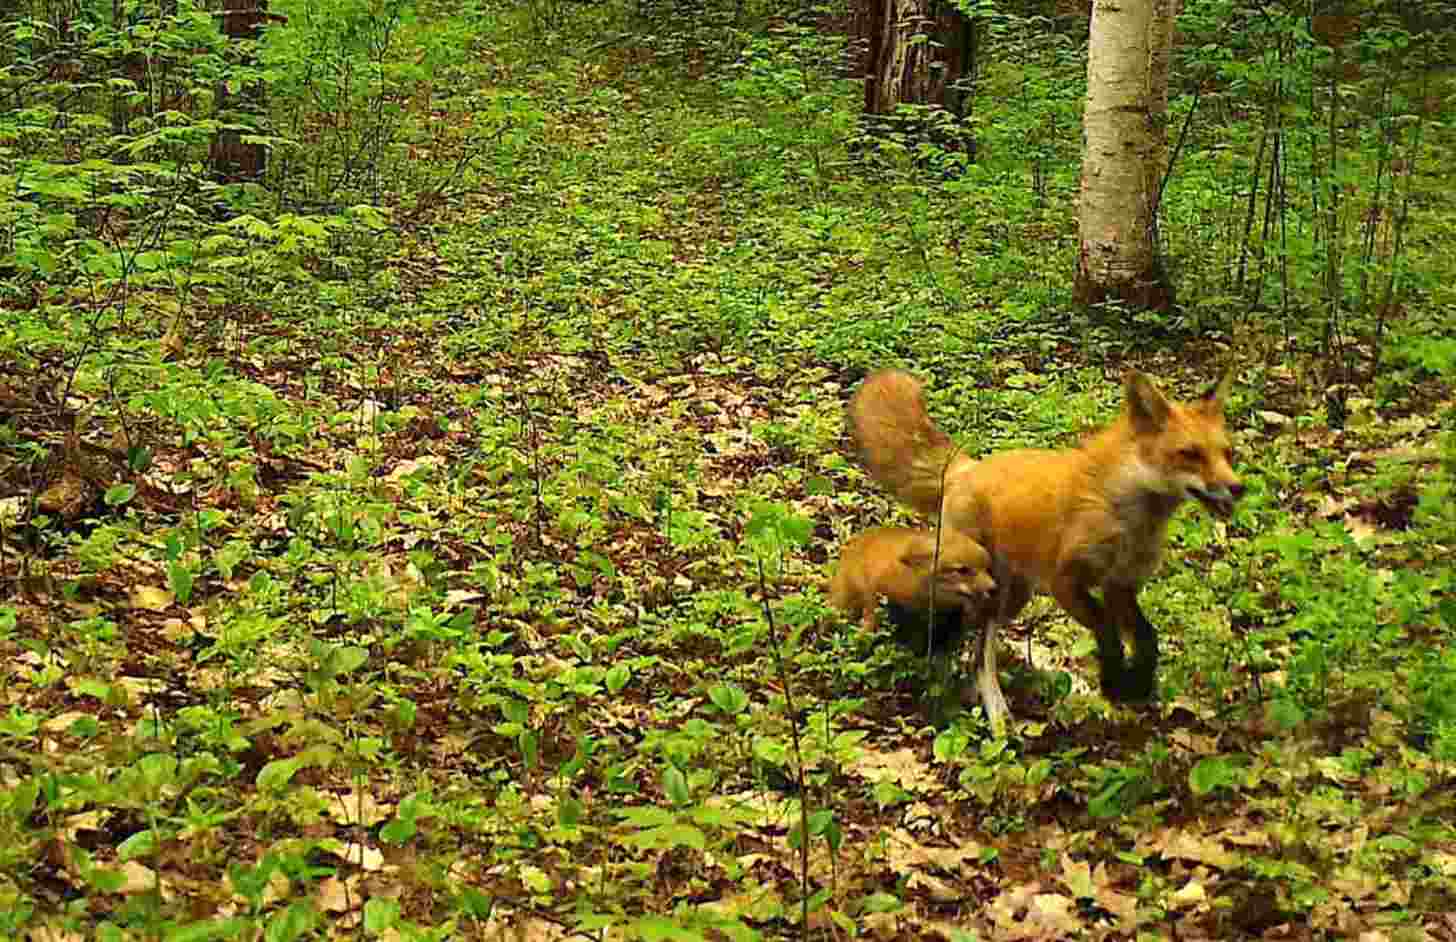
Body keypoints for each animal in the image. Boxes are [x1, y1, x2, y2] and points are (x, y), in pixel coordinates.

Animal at [827, 526, 997, 642]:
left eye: (987, 566)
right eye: (962, 570)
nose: (993, 588)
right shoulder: (871, 583)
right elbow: (870, 609)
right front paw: (864, 632)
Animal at [848, 367, 1242, 734]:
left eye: (1227, 454)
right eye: (1190, 454)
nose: (1239, 488)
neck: (1125, 513)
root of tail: (966, 468)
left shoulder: (1120, 585)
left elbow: (1147, 638)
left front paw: (1138, 683)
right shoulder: (1065, 581)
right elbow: (1108, 632)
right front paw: (1115, 682)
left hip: (1009, 597)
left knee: (977, 649)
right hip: (983, 587)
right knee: (967, 640)